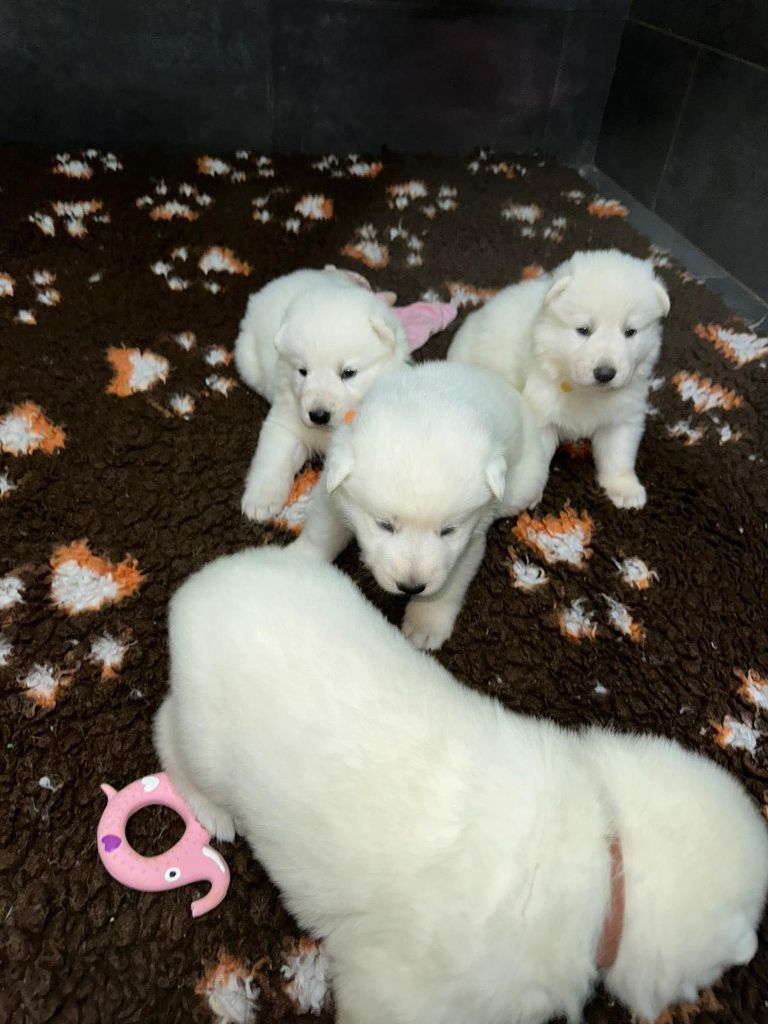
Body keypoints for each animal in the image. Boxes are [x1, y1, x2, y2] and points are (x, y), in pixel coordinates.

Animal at [154, 548, 768, 1024]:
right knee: (167, 735)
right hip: (206, 742)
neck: (612, 851)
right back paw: (214, 815)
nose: (746, 959)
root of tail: (197, 591)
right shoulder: (403, 988)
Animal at [236, 266, 409, 520]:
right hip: (248, 362)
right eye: (302, 371)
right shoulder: (287, 418)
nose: (318, 415)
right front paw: (260, 501)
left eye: (348, 373)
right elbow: (273, 456)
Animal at [290, 360, 548, 647]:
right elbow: (322, 532)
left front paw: (425, 624)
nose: (411, 586)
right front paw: (297, 561)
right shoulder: (334, 494)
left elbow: (451, 580)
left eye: (448, 530)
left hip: (521, 484)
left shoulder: (470, 538)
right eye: (384, 525)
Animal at [448, 249, 671, 509]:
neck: (585, 391)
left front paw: (624, 489)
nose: (605, 373)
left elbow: (619, 454)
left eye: (630, 332)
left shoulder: (624, 414)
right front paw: (532, 492)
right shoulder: (541, 411)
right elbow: (541, 456)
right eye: (583, 330)